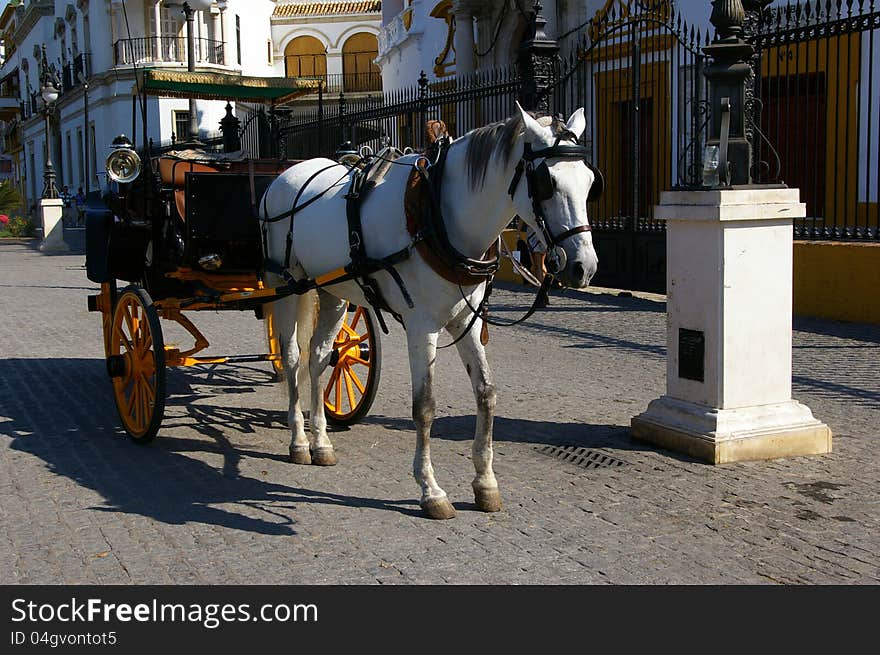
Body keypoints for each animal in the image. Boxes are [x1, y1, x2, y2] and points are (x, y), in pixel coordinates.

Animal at [258, 105, 596, 520]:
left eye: (590, 182)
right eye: (547, 182)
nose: (583, 267)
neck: (437, 215)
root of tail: (282, 178)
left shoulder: (466, 321)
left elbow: (486, 393)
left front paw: (485, 483)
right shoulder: (422, 327)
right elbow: (425, 406)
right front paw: (431, 490)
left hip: (334, 290)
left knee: (320, 357)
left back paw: (321, 442)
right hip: (287, 284)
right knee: (292, 358)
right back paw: (298, 440)